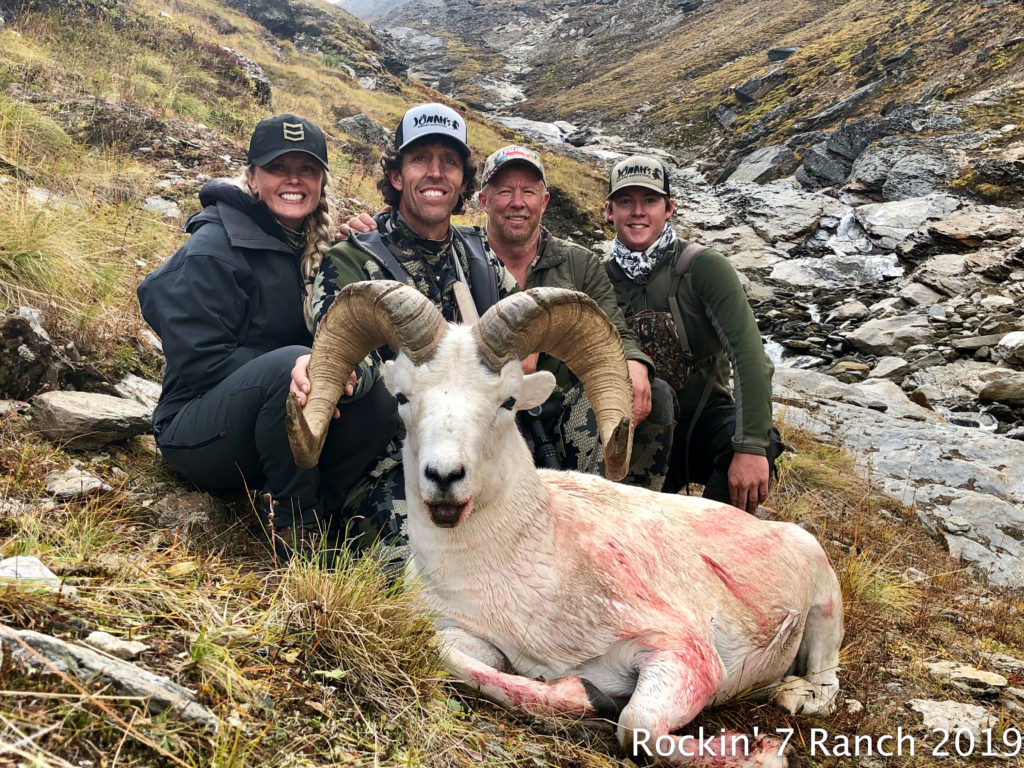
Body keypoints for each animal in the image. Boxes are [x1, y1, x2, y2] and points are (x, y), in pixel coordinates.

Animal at [288, 282, 839, 768]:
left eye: (507, 402)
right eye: (402, 397)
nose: (444, 478)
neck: (521, 581)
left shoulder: (685, 654)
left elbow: (636, 726)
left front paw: (765, 753)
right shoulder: (465, 635)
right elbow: (463, 663)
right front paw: (587, 694)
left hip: (824, 610)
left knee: (826, 684)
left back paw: (793, 695)